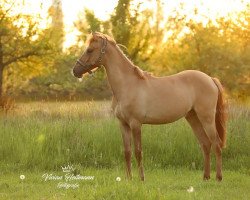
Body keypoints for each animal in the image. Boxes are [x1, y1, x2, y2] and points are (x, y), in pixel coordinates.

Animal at [72, 31, 227, 181]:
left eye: (90, 50)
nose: (75, 71)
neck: (127, 85)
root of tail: (210, 79)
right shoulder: (123, 124)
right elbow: (127, 152)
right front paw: (128, 179)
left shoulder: (135, 124)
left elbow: (138, 152)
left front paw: (141, 178)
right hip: (193, 118)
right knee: (205, 144)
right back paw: (206, 177)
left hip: (207, 119)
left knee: (217, 144)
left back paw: (218, 177)